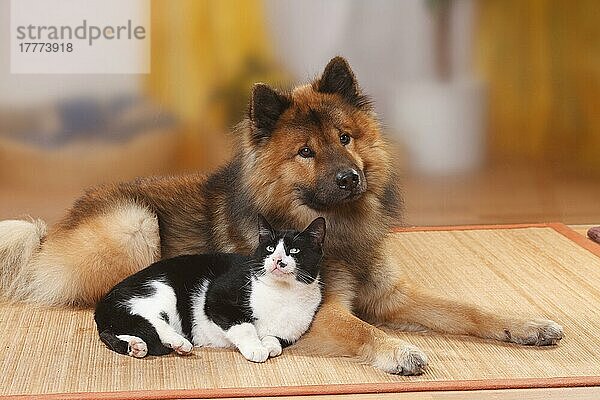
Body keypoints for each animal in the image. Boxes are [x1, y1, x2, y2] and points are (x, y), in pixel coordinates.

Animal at [95, 216, 326, 362]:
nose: (277, 260)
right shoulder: (218, 296)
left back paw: (137, 346)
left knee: (113, 330)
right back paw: (178, 342)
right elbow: (244, 326)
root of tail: (103, 303)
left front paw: (268, 345)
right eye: (269, 248)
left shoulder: (291, 332)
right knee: (150, 319)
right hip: (160, 290)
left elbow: (275, 340)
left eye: (294, 251)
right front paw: (256, 348)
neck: (283, 294)